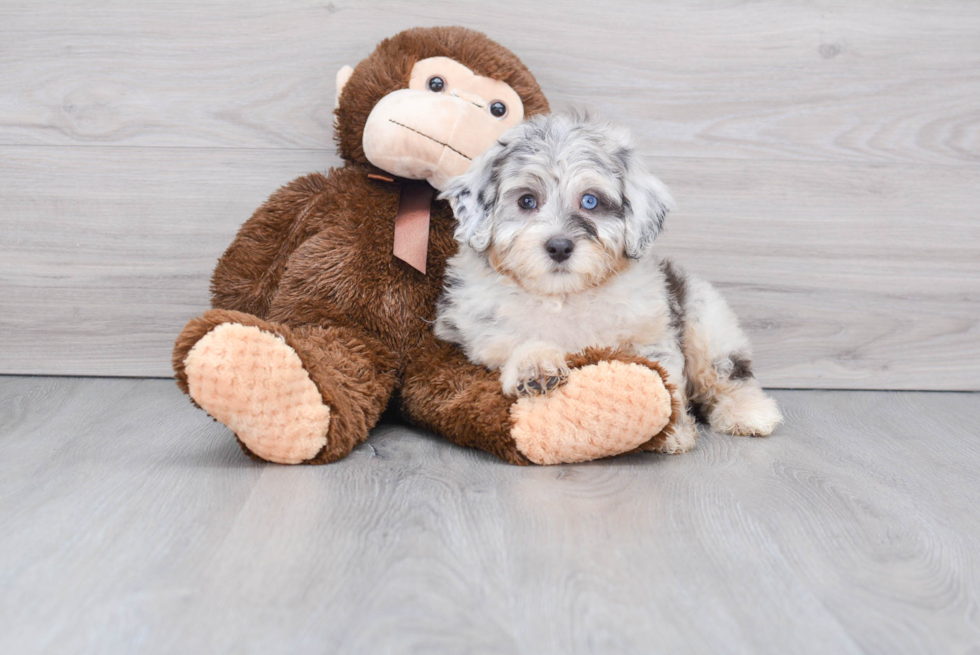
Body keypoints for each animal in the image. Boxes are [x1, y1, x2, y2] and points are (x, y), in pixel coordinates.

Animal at [436, 111, 780, 452]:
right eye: (526, 201)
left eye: (590, 201)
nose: (559, 247)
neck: (563, 296)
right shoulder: (481, 335)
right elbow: (515, 342)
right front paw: (535, 366)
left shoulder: (651, 335)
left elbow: (666, 380)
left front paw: (673, 431)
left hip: (707, 325)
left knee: (729, 374)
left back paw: (749, 413)